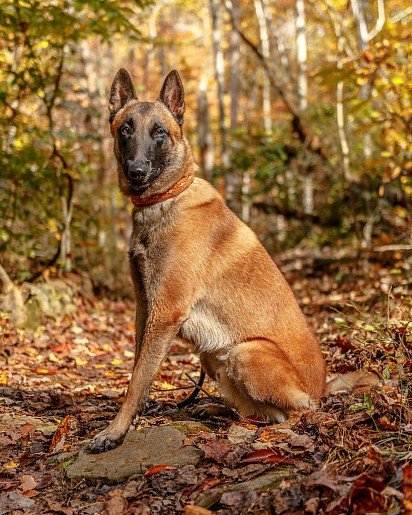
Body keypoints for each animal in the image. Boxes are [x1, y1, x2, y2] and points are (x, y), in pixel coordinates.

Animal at [85, 66, 326, 454]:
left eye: (159, 132)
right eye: (125, 130)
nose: (137, 171)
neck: (164, 201)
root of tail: (322, 388)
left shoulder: (165, 312)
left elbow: (137, 380)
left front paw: (114, 431)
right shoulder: (145, 309)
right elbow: (140, 371)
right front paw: (132, 420)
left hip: (246, 352)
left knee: (296, 412)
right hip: (213, 356)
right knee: (263, 411)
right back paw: (219, 410)